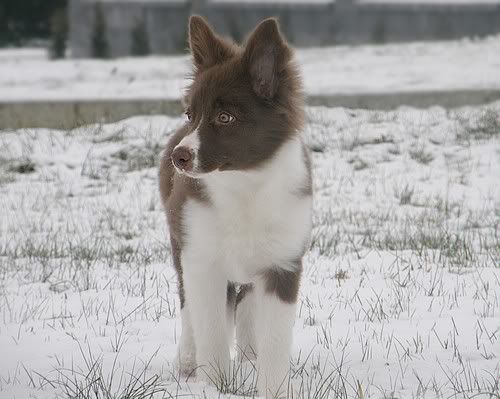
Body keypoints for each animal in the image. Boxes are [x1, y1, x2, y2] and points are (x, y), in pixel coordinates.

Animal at [158, 15, 310, 399]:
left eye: (225, 117)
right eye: (191, 114)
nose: (179, 157)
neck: (245, 185)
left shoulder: (283, 263)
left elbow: (275, 339)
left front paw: (270, 386)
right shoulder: (202, 259)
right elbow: (211, 330)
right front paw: (214, 386)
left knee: (247, 305)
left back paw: (249, 358)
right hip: (180, 244)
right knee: (189, 307)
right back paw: (187, 360)